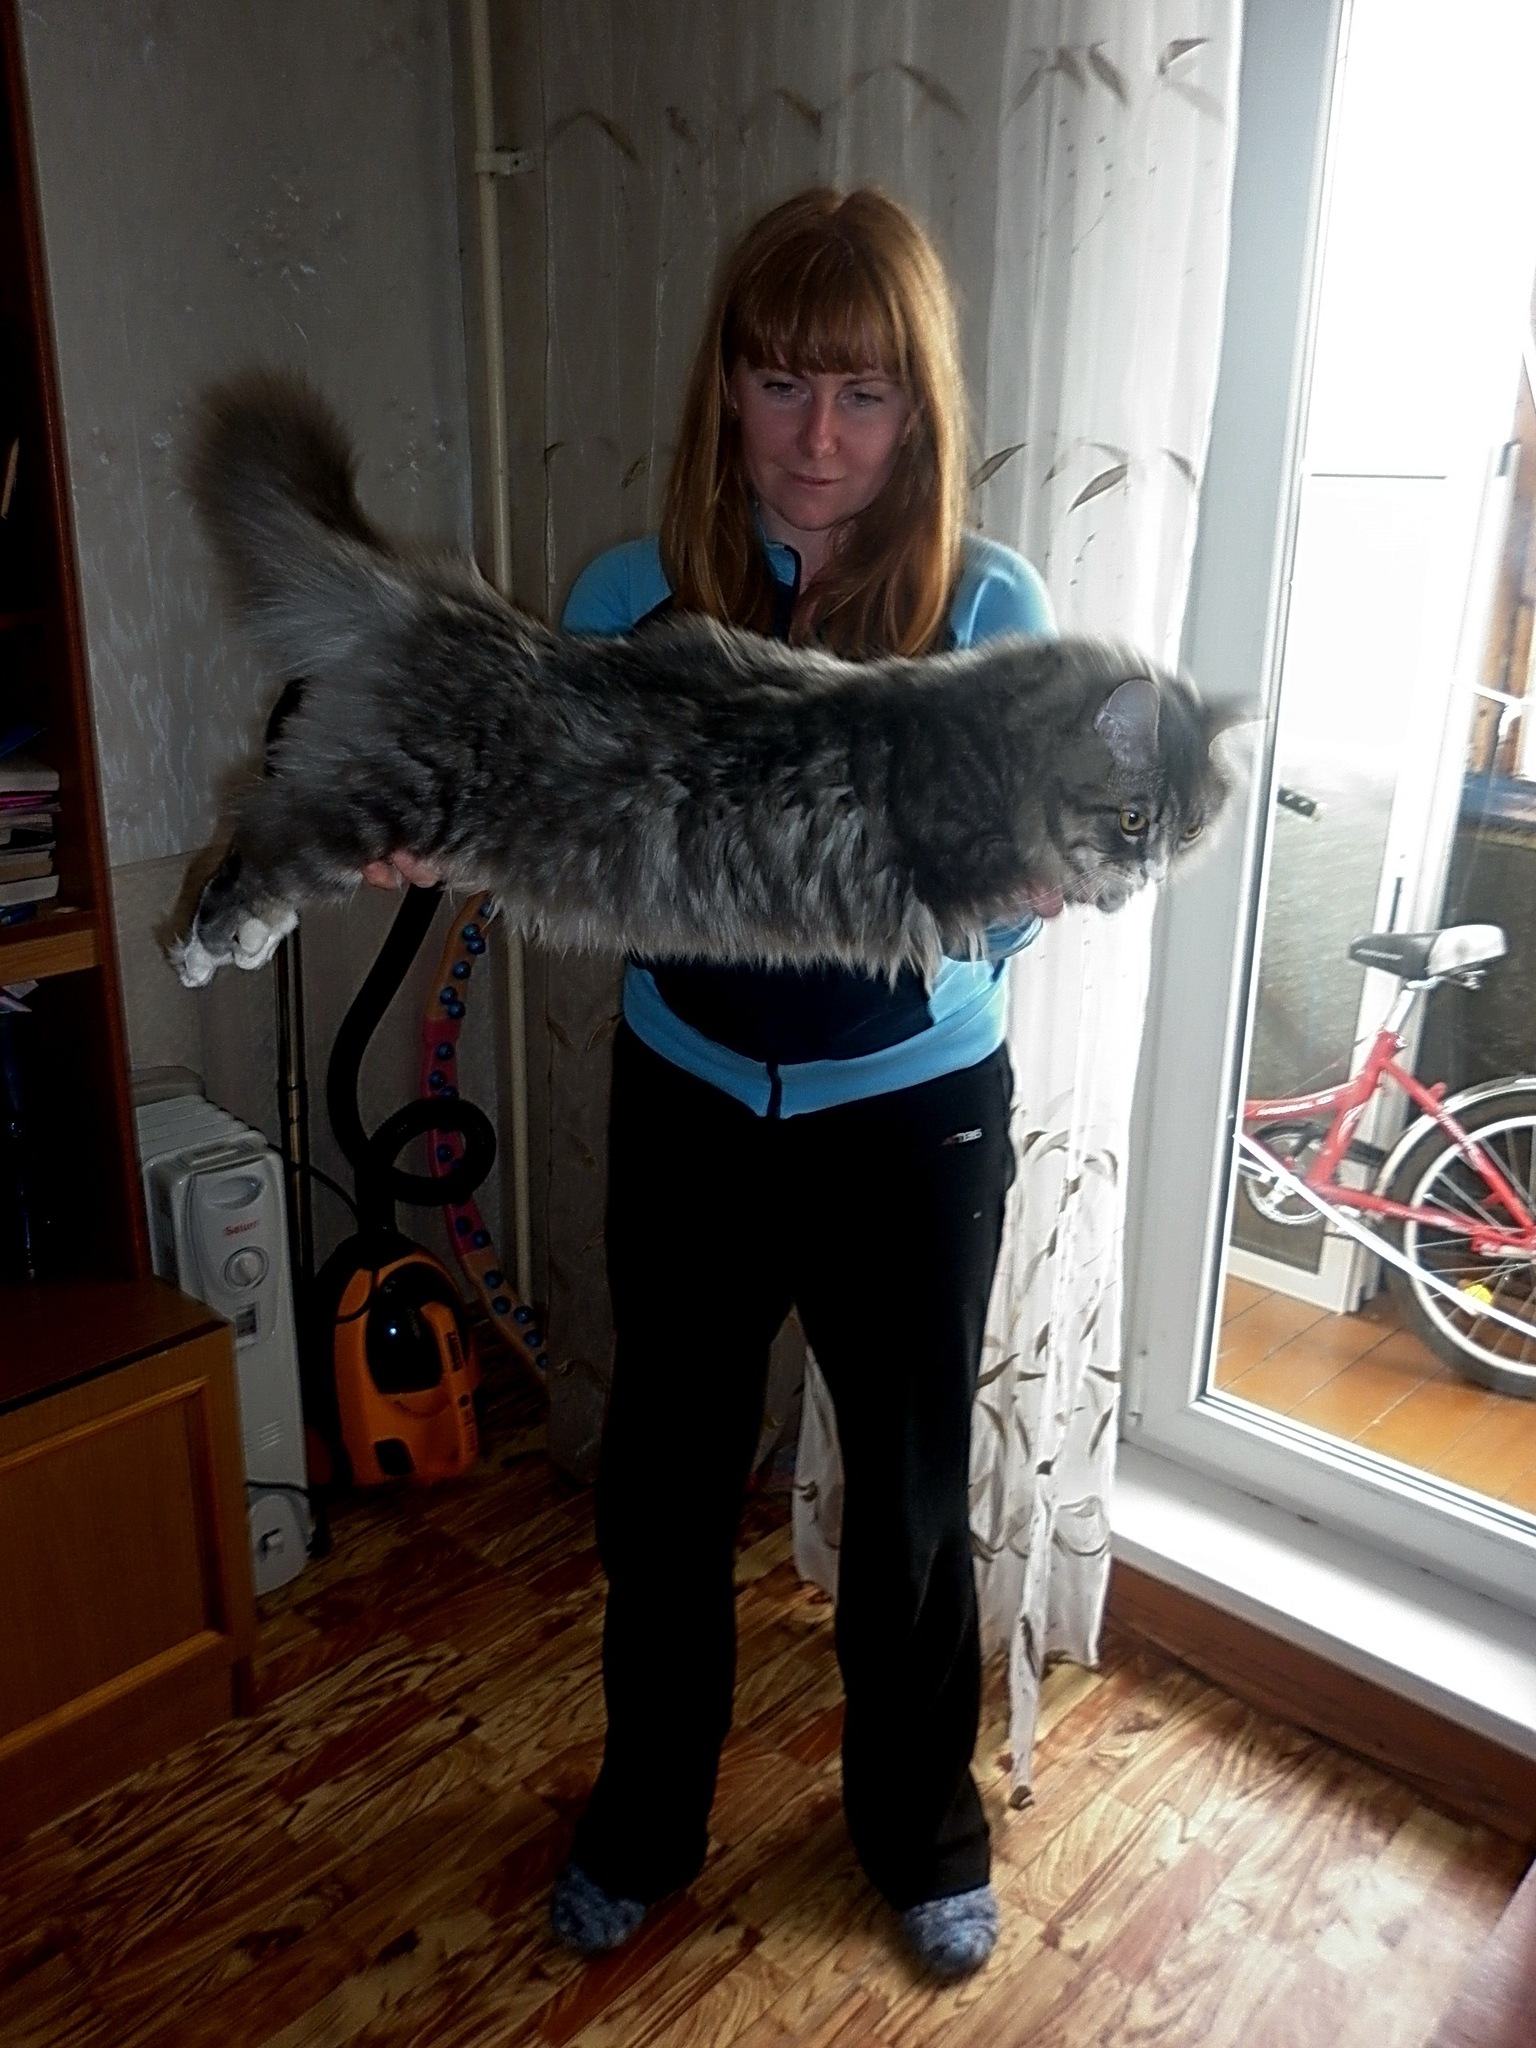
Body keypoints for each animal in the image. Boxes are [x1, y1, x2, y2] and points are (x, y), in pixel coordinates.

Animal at [171, 372, 1233, 990]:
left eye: (1188, 831)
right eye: (1134, 818)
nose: (1149, 872)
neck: (999, 740)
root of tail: (441, 607)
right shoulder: (958, 855)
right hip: (384, 797)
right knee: (258, 839)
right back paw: (198, 949)